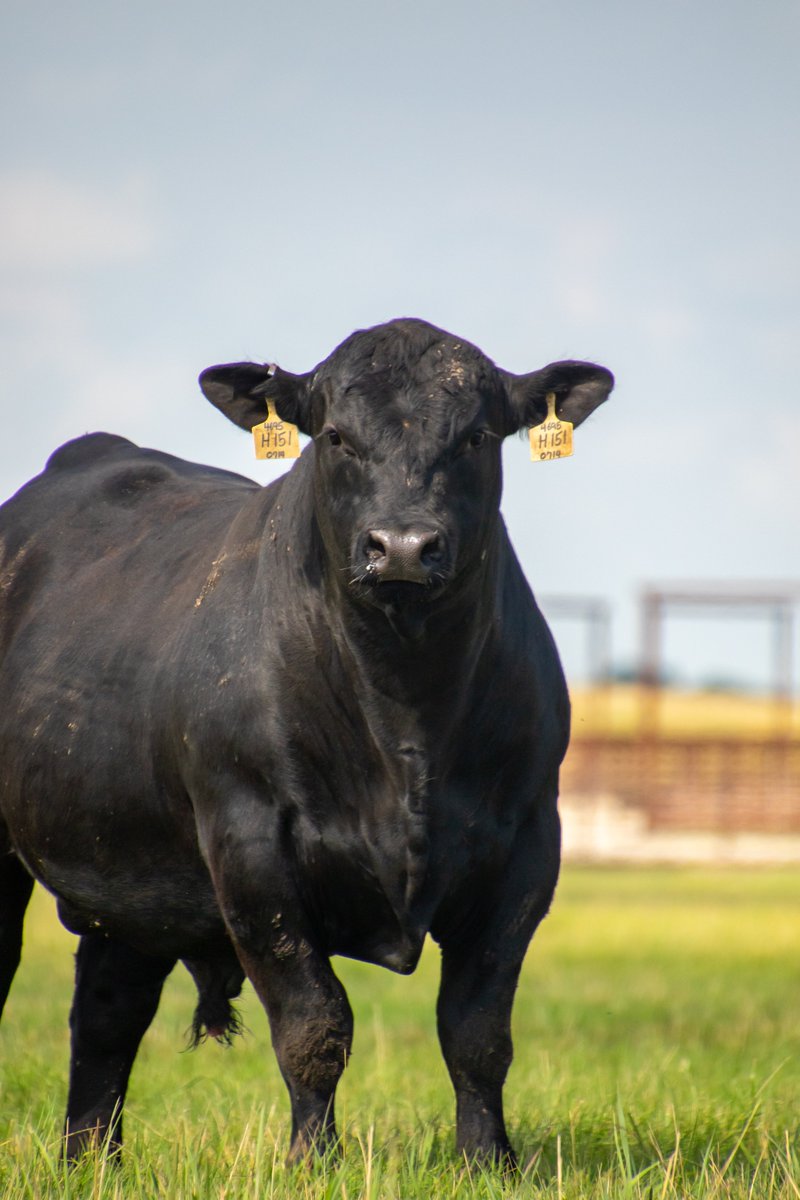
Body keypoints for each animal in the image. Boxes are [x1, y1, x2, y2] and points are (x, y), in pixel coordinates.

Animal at [0, 318, 613, 1166]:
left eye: (477, 436)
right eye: (335, 436)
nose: (402, 545)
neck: (405, 716)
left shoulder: (526, 846)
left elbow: (478, 1031)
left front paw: (489, 1161)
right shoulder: (251, 844)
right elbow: (315, 1024)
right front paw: (312, 1160)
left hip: (124, 857)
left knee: (108, 1009)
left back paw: (92, 1159)